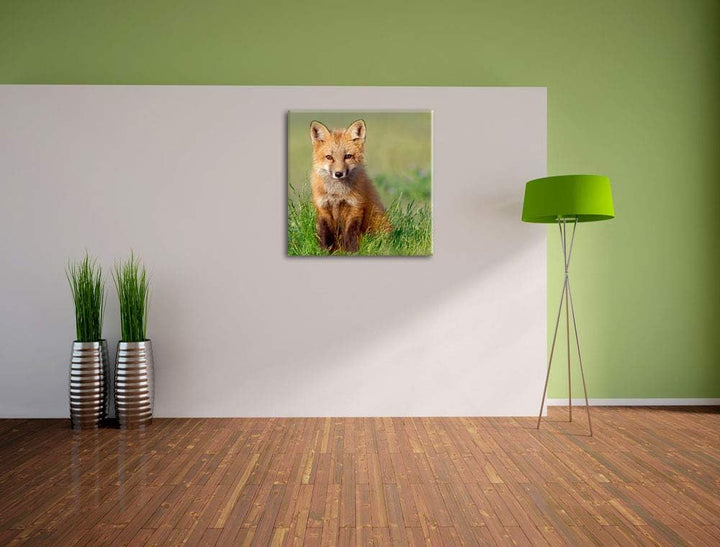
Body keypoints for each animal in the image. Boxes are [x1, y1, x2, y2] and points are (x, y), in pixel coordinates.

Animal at [309, 119, 391, 253]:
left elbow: (350, 234)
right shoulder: (323, 208)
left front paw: (351, 252)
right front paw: (325, 251)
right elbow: (325, 234)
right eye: (329, 157)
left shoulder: (355, 207)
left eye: (347, 156)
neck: (337, 194)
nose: (338, 174)